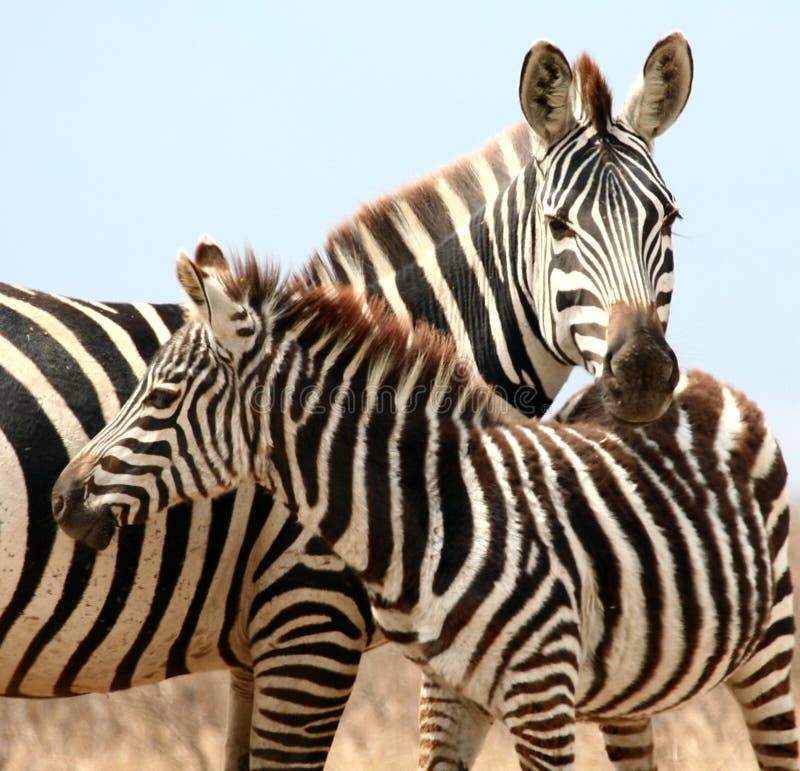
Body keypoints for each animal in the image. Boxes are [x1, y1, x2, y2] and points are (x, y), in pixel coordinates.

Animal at [53, 241, 796, 771]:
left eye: (163, 396)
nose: (62, 498)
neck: (442, 514)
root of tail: (704, 382)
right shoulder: (448, 693)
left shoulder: (542, 696)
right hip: (629, 687)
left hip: (774, 653)